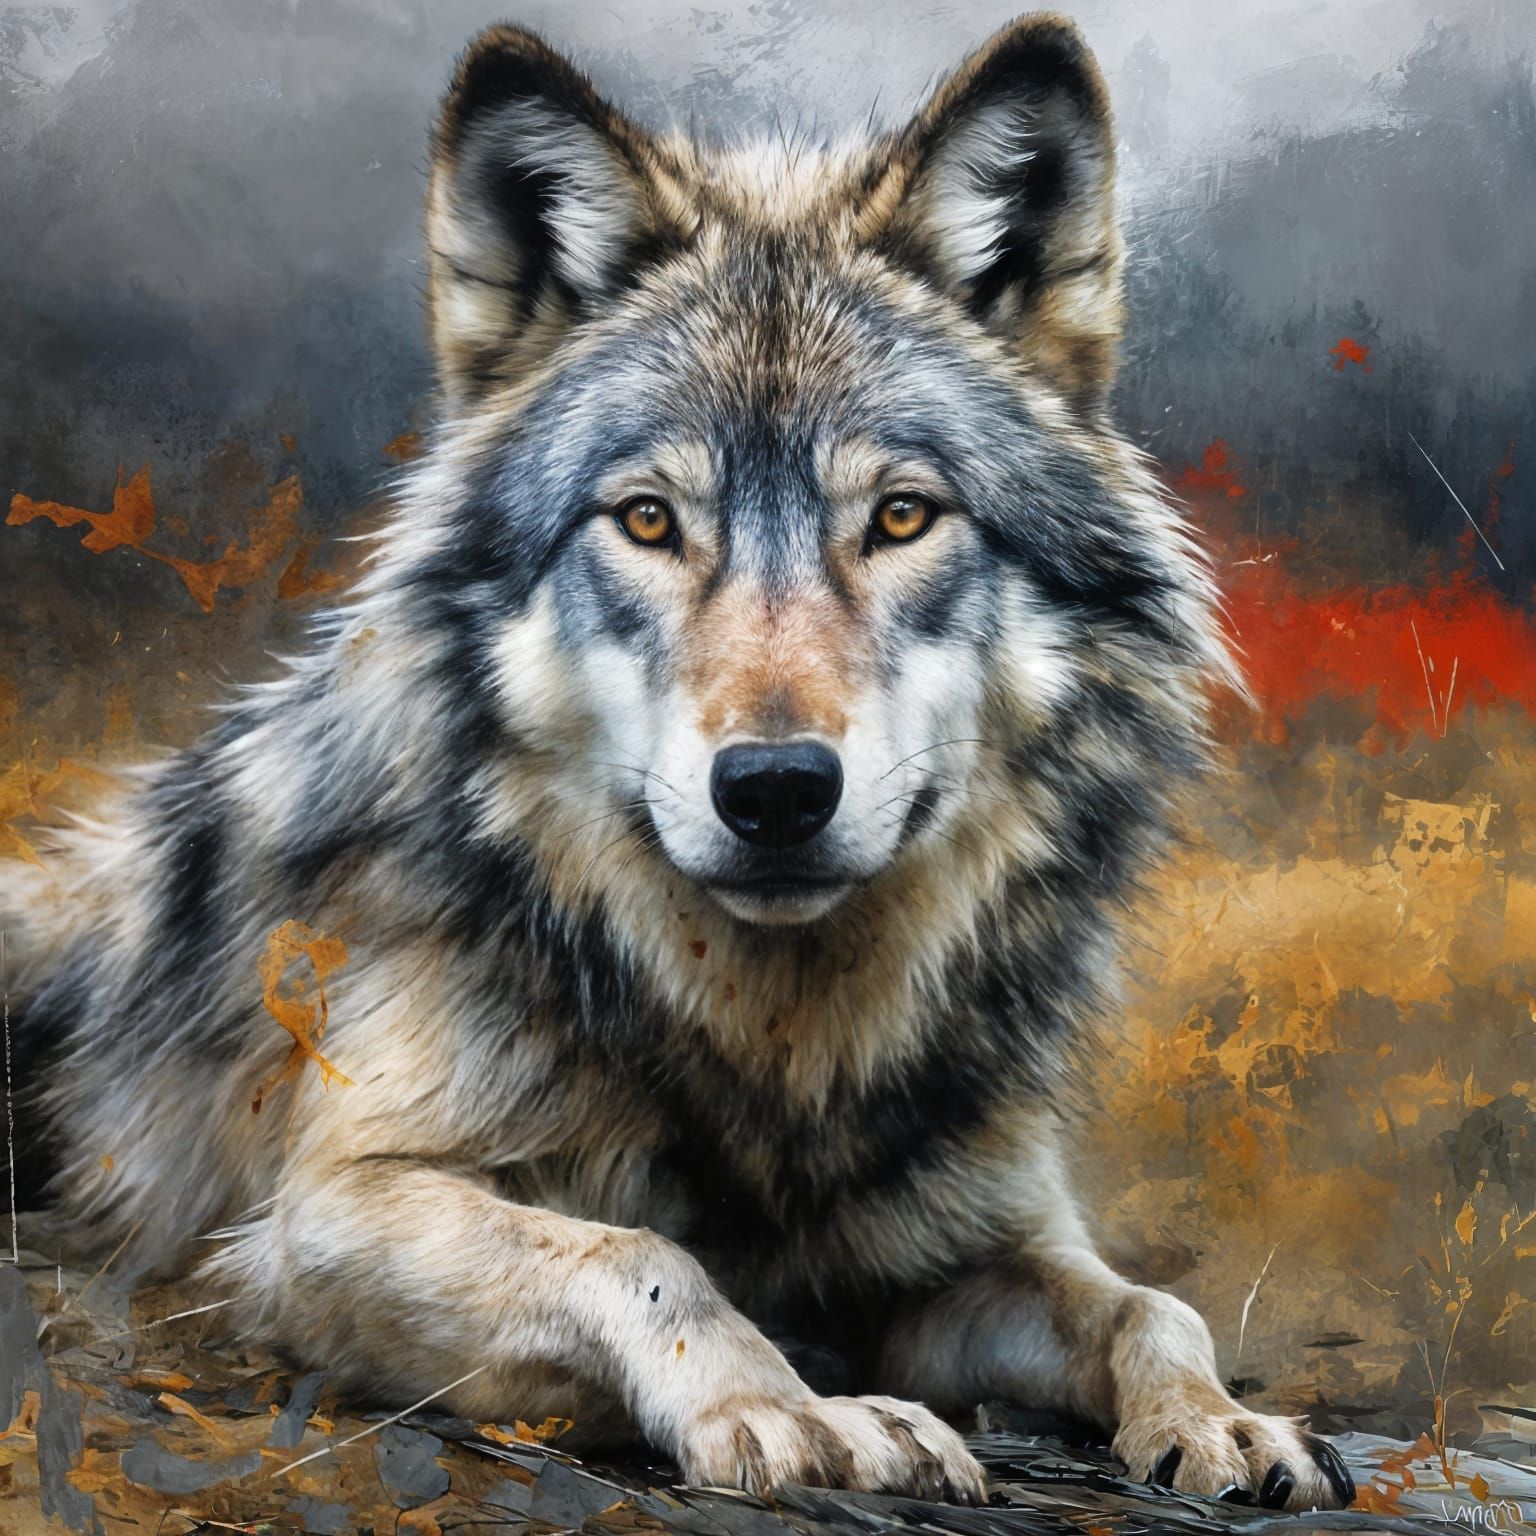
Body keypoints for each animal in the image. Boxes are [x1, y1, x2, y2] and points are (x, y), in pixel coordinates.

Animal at [5, 12, 1356, 1511]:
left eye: (901, 517)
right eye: (648, 520)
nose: (775, 790)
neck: (771, 1045)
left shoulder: (964, 1241)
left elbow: (1145, 1306)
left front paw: (1222, 1421)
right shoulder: (319, 1218)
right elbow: (647, 1258)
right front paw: (803, 1412)